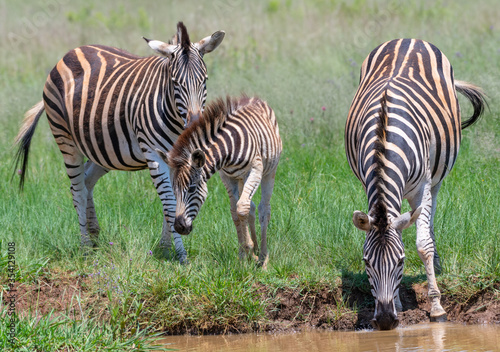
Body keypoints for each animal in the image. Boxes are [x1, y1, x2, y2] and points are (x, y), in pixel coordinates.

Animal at [13, 22, 225, 262]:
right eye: (175, 83)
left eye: (204, 80)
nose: (195, 124)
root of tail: (72, 51)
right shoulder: (154, 154)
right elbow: (170, 203)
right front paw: (180, 254)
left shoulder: (177, 158)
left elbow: (174, 199)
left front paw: (164, 248)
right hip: (66, 139)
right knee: (77, 189)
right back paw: (85, 247)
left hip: (102, 148)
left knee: (86, 181)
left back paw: (94, 235)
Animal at [156, 95, 282, 268]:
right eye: (174, 190)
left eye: (192, 189)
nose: (179, 227)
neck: (228, 151)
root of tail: (254, 99)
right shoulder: (227, 177)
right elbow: (235, 212)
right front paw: (244, 255)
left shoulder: (255, 169)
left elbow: (241, 208)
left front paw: (248, 249)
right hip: (241, 178)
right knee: (250, 207)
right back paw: (256, 251)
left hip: (269, 171)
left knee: (264, 209)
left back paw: (263, 257)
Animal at [346, 38, 486, 330]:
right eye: (366, 263)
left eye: (401, 261)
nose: (385, 321)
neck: (383, 140)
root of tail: (406, 39)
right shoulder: (370, 188)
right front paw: (398, 304)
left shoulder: (422, 187)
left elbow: (423, 245)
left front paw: (436, 307)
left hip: (436, 178)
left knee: (429, 222)